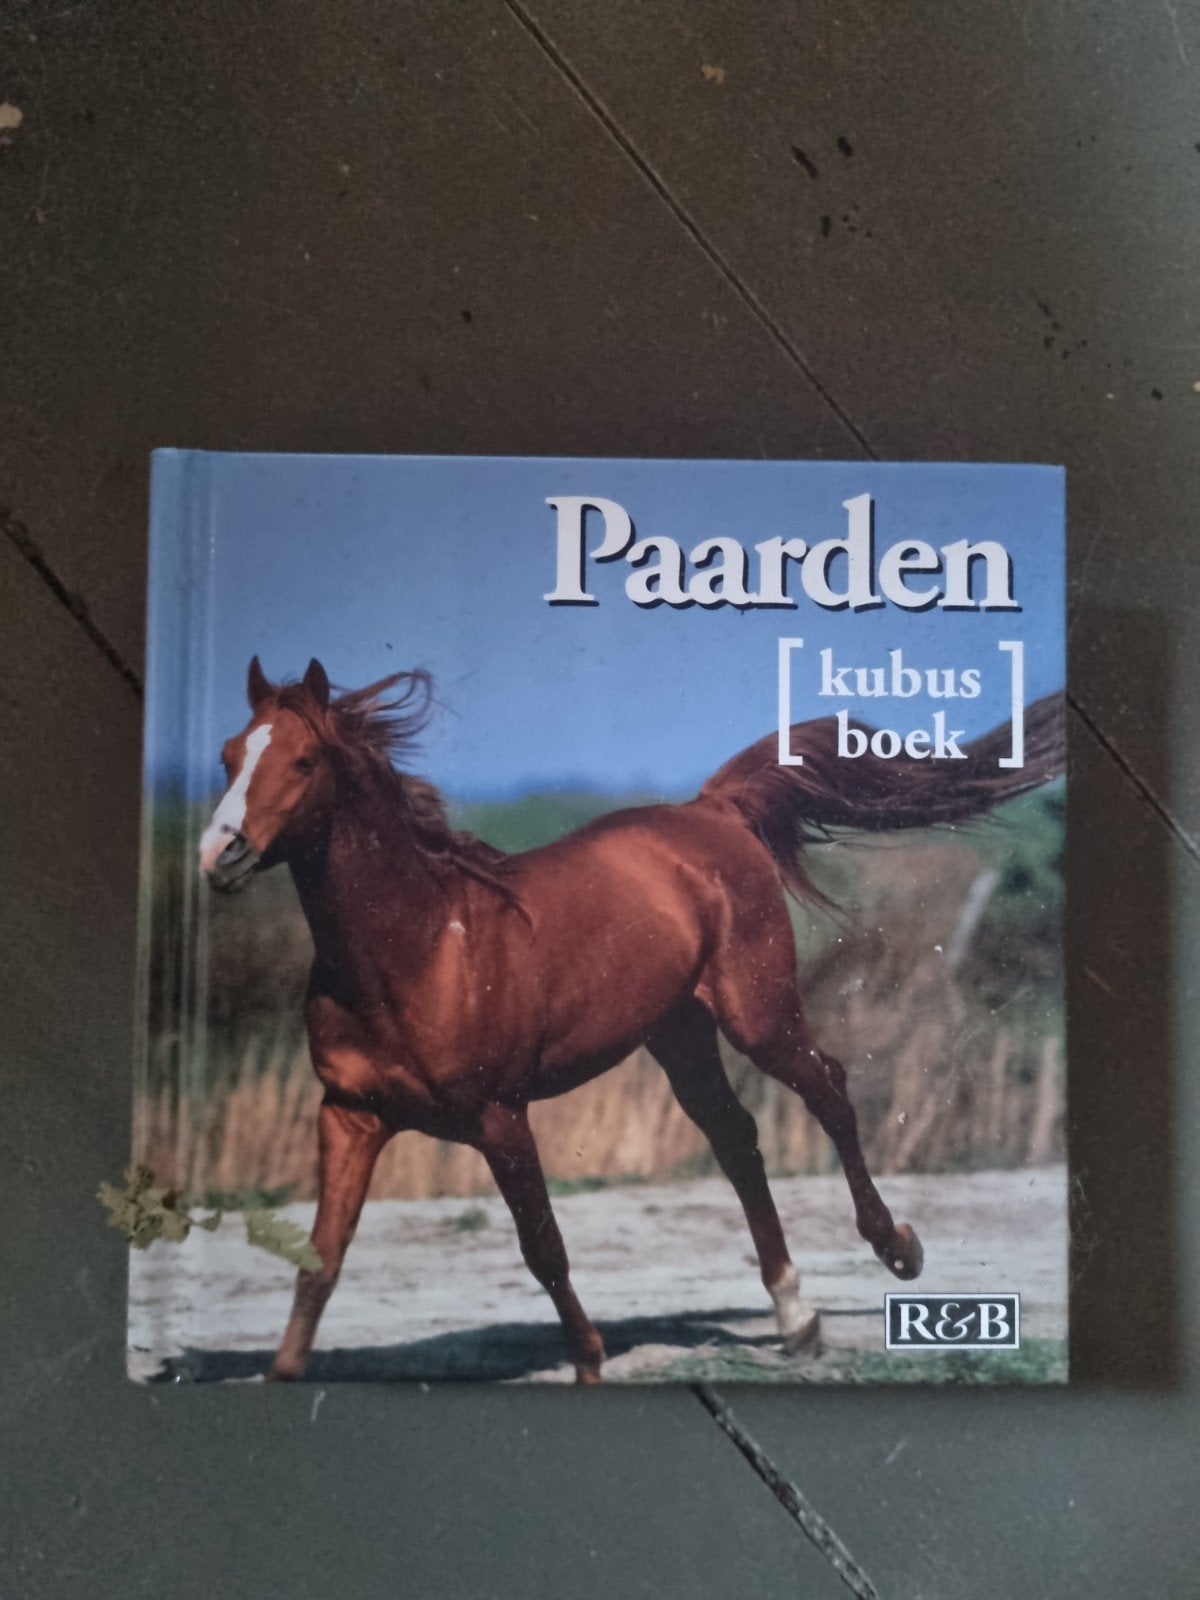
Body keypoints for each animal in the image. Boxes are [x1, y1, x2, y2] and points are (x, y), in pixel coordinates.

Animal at [199, 656, 1065, 1383]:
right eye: (230, 755)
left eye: (303, 760)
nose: (220, 855)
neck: (416, 951)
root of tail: (711, 811)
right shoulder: (349, 1116)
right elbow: (319, 1260)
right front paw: (284, 1372)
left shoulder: (499, 1117)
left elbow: (544, 1248)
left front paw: (588, 1362)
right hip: (678, 1032)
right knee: (737, 1140)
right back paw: (797, 1317)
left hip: (756, 1014)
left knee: (828, 1089)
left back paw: (898, 1251)